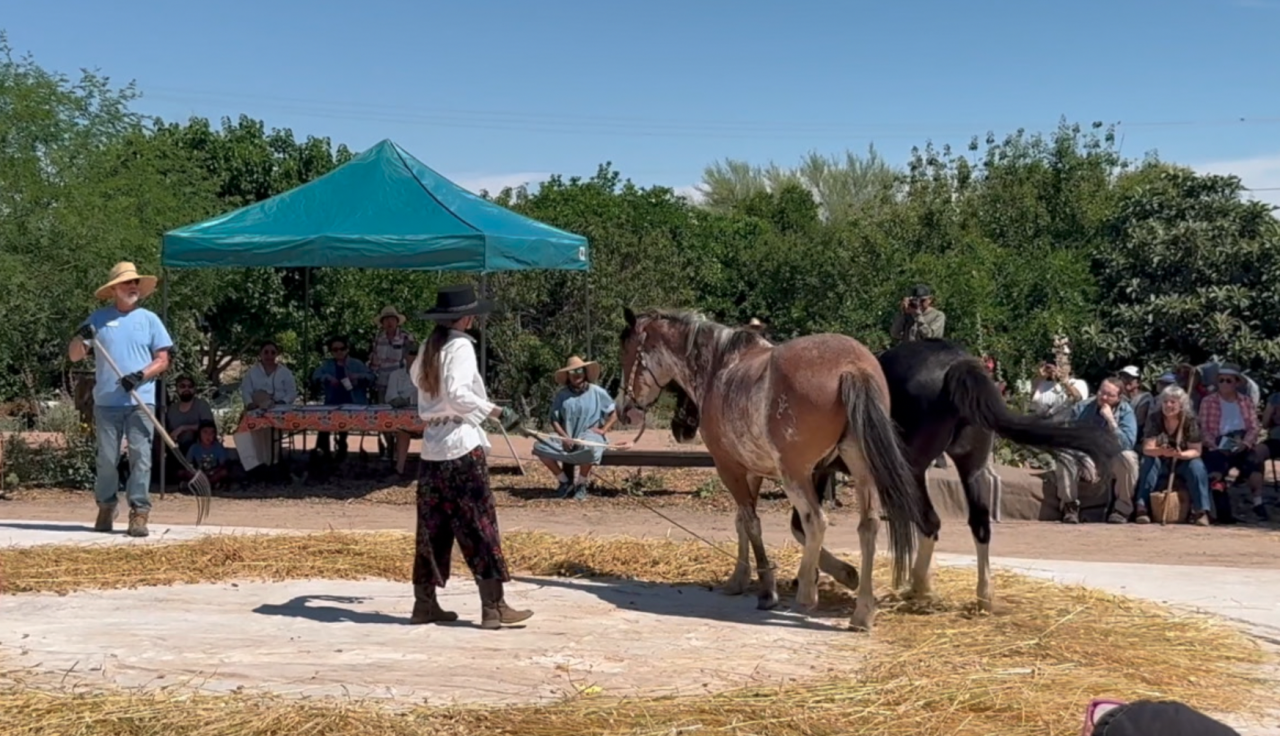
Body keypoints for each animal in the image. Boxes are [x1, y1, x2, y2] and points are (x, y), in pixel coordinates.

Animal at [619, 308, 931, 629]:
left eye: (626, 353)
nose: (625, 411)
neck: (720, 368)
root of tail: (852, 367)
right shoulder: (751, 470)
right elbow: (741, 522)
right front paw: (739, 578)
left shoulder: (728, 467)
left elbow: (752, 523)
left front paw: (767, 590)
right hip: (861, 467)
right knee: (868, 525)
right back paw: (863, 612)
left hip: (795, 475)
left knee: (815, 521)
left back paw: (807, 594)